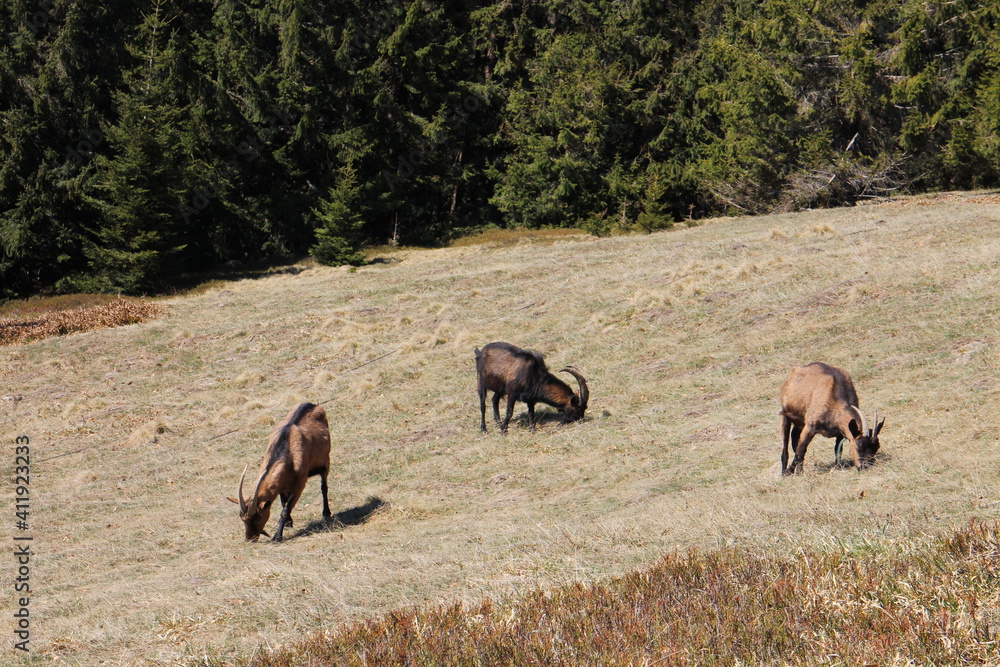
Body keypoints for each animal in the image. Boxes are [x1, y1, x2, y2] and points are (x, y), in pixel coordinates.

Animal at [229, 402, 334, 544]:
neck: (287, 450)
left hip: (325, 462)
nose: (249, 539)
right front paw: (289, 522)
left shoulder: (299, 485)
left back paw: (326, 513)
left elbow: (285, 510)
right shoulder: (282, 486)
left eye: (258, 517)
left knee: (324, 487)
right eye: (242, 518)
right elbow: (283, 502)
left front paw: (277, 536)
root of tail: (312, 404)